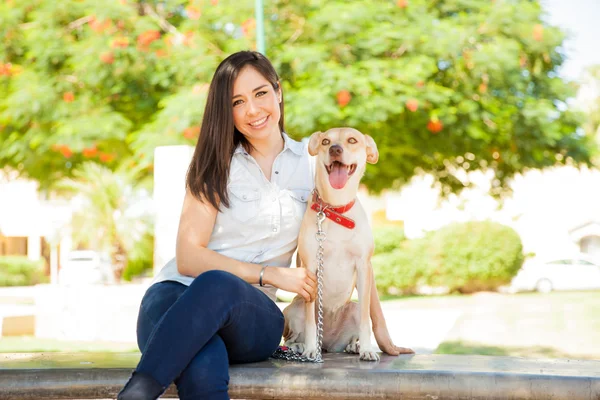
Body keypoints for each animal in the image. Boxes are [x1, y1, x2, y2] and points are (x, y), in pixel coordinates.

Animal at [282, 127, 412, 360]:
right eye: (325, 141)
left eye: (352, 140)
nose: (335, 149)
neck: (335, 209)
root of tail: (327, 342)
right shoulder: (310, 269)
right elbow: (310, 321)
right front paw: (309, 348)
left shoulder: (363, 266)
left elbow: (366, 320)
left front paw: (367, 349)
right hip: (294, 308)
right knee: (293, 335)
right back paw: (301, 346)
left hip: (352, 308)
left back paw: (354, 346)